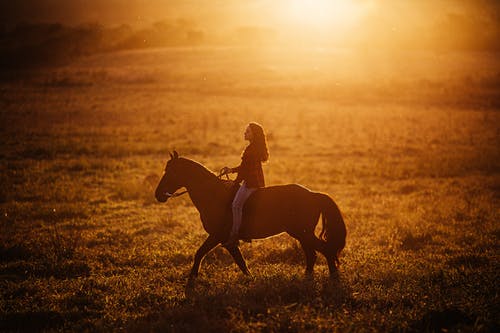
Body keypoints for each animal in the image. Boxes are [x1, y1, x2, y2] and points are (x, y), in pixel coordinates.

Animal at [154, 151, 346, 280]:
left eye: (171, 171)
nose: (158, 194)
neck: (214, 195)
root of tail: (313, 194)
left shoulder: (217, 236)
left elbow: (200, 253)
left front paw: (192, 279)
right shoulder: (227, 240)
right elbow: (240, 262)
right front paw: (250, 279)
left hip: (303, 233)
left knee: (325, 250)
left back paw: (332, 277)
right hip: (302, 234)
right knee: (312, 254)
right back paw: (308, 278)